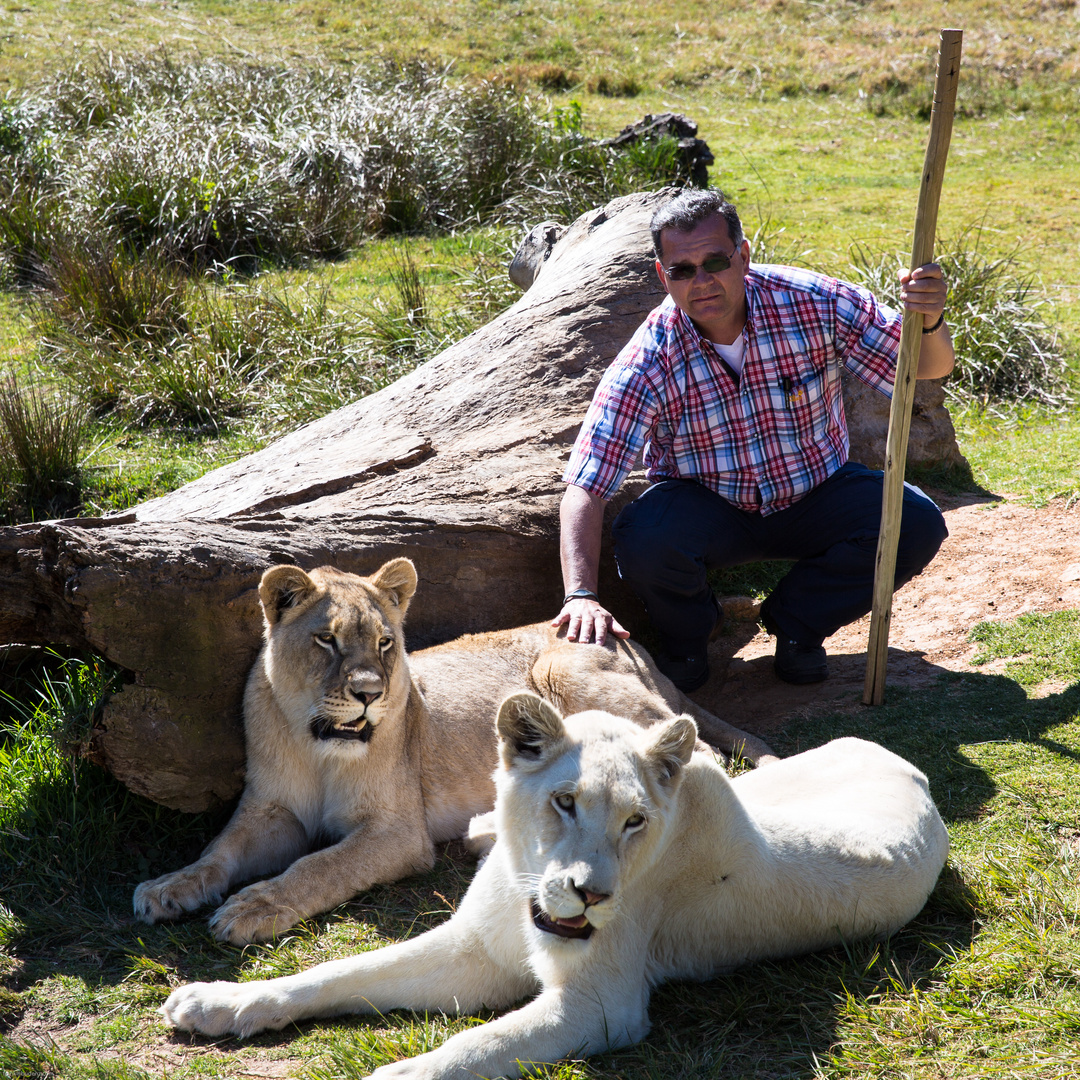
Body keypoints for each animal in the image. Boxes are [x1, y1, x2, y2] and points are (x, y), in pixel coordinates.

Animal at [157, 691, 946, 1080]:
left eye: (635, 821)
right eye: (565, 802)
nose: (591, 894)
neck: (524, 883)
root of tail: (903, 761)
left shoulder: (603, 1006)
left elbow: (473, 1048)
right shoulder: (471, 951)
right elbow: (337, 973)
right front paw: (215, 1001)